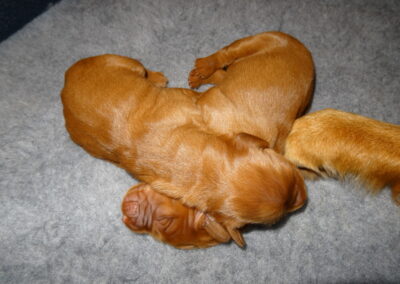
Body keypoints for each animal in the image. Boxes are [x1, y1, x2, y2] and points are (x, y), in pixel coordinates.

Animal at [61, 52, 306, 247]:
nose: (304, 199)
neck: (202, 167)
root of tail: (64, 85)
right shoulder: (191, 99)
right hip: (124, 62)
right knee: (143, 70)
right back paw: (157, 77)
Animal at [120, 31, 314, 246]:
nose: (303, 198)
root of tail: (302, 47)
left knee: (226, 73)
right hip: (259, 41)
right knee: (226, 54)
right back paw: (204, 67)